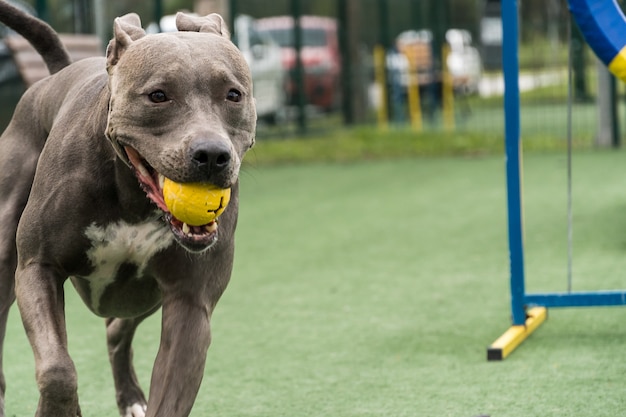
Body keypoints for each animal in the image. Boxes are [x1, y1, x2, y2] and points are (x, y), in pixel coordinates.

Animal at [0, 1, 256, 414]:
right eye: (158, 95)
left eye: (233, 94)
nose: (212, 155)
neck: (134, 198)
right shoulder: (37, 266)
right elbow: (57, 369)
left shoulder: (190, 303)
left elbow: (170, 396)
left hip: (141, 295)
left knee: (117, 329)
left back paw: (131, 397)